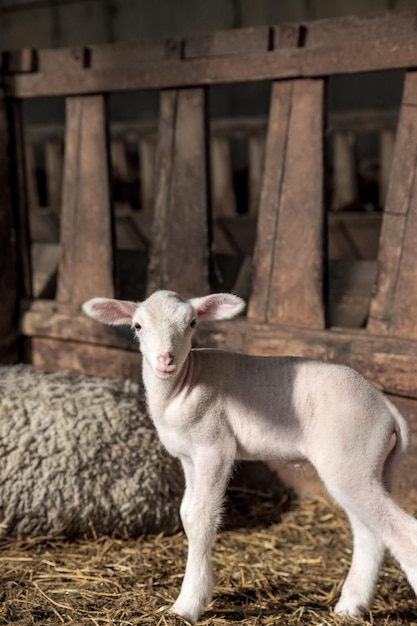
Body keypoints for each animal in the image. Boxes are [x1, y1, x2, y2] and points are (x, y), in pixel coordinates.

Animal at [82, 290, 416, 620]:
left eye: (192, 323)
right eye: (137, 326)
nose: (166, 360)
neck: (182, 384)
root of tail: (388, 407)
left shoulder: (214, 447)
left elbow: (201, 516)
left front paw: (187, 605)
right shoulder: (189, 456)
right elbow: (186, 513)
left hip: (350, 455)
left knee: (401, 529)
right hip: (361, 464)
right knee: (369, 533)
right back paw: (351, 607)